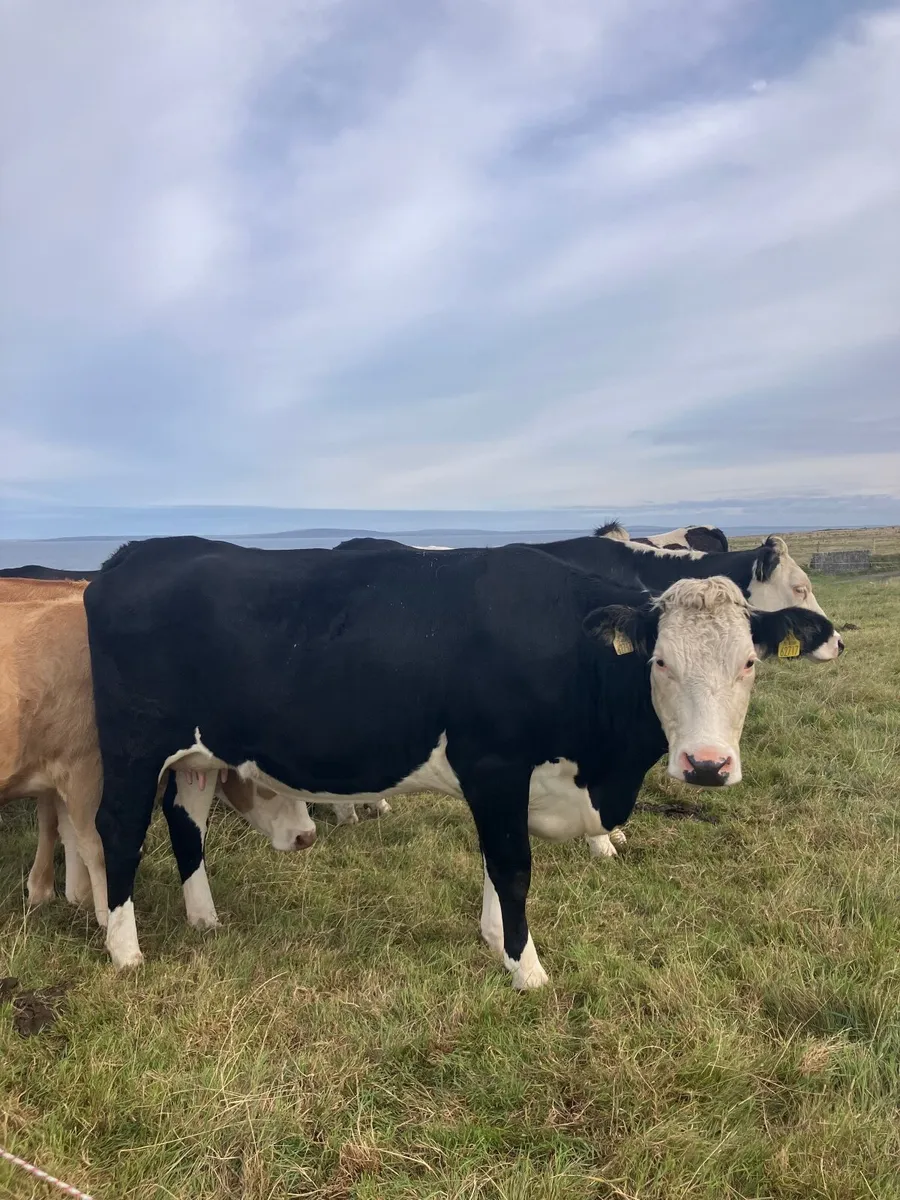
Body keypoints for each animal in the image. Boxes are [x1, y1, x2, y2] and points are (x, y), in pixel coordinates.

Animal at [82, 536, 837, 986]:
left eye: (748, 663)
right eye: (660, 662)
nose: (707, 765)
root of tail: (136, 554)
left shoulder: (511, 780)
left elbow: (493, 860)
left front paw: (494, 937)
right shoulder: (496, 762)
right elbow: (512, 863)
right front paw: (525, 968)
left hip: (199, 755)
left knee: (187, 823)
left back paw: (204, 919)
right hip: (133, 745)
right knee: (119, 828)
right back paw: (125, 950)